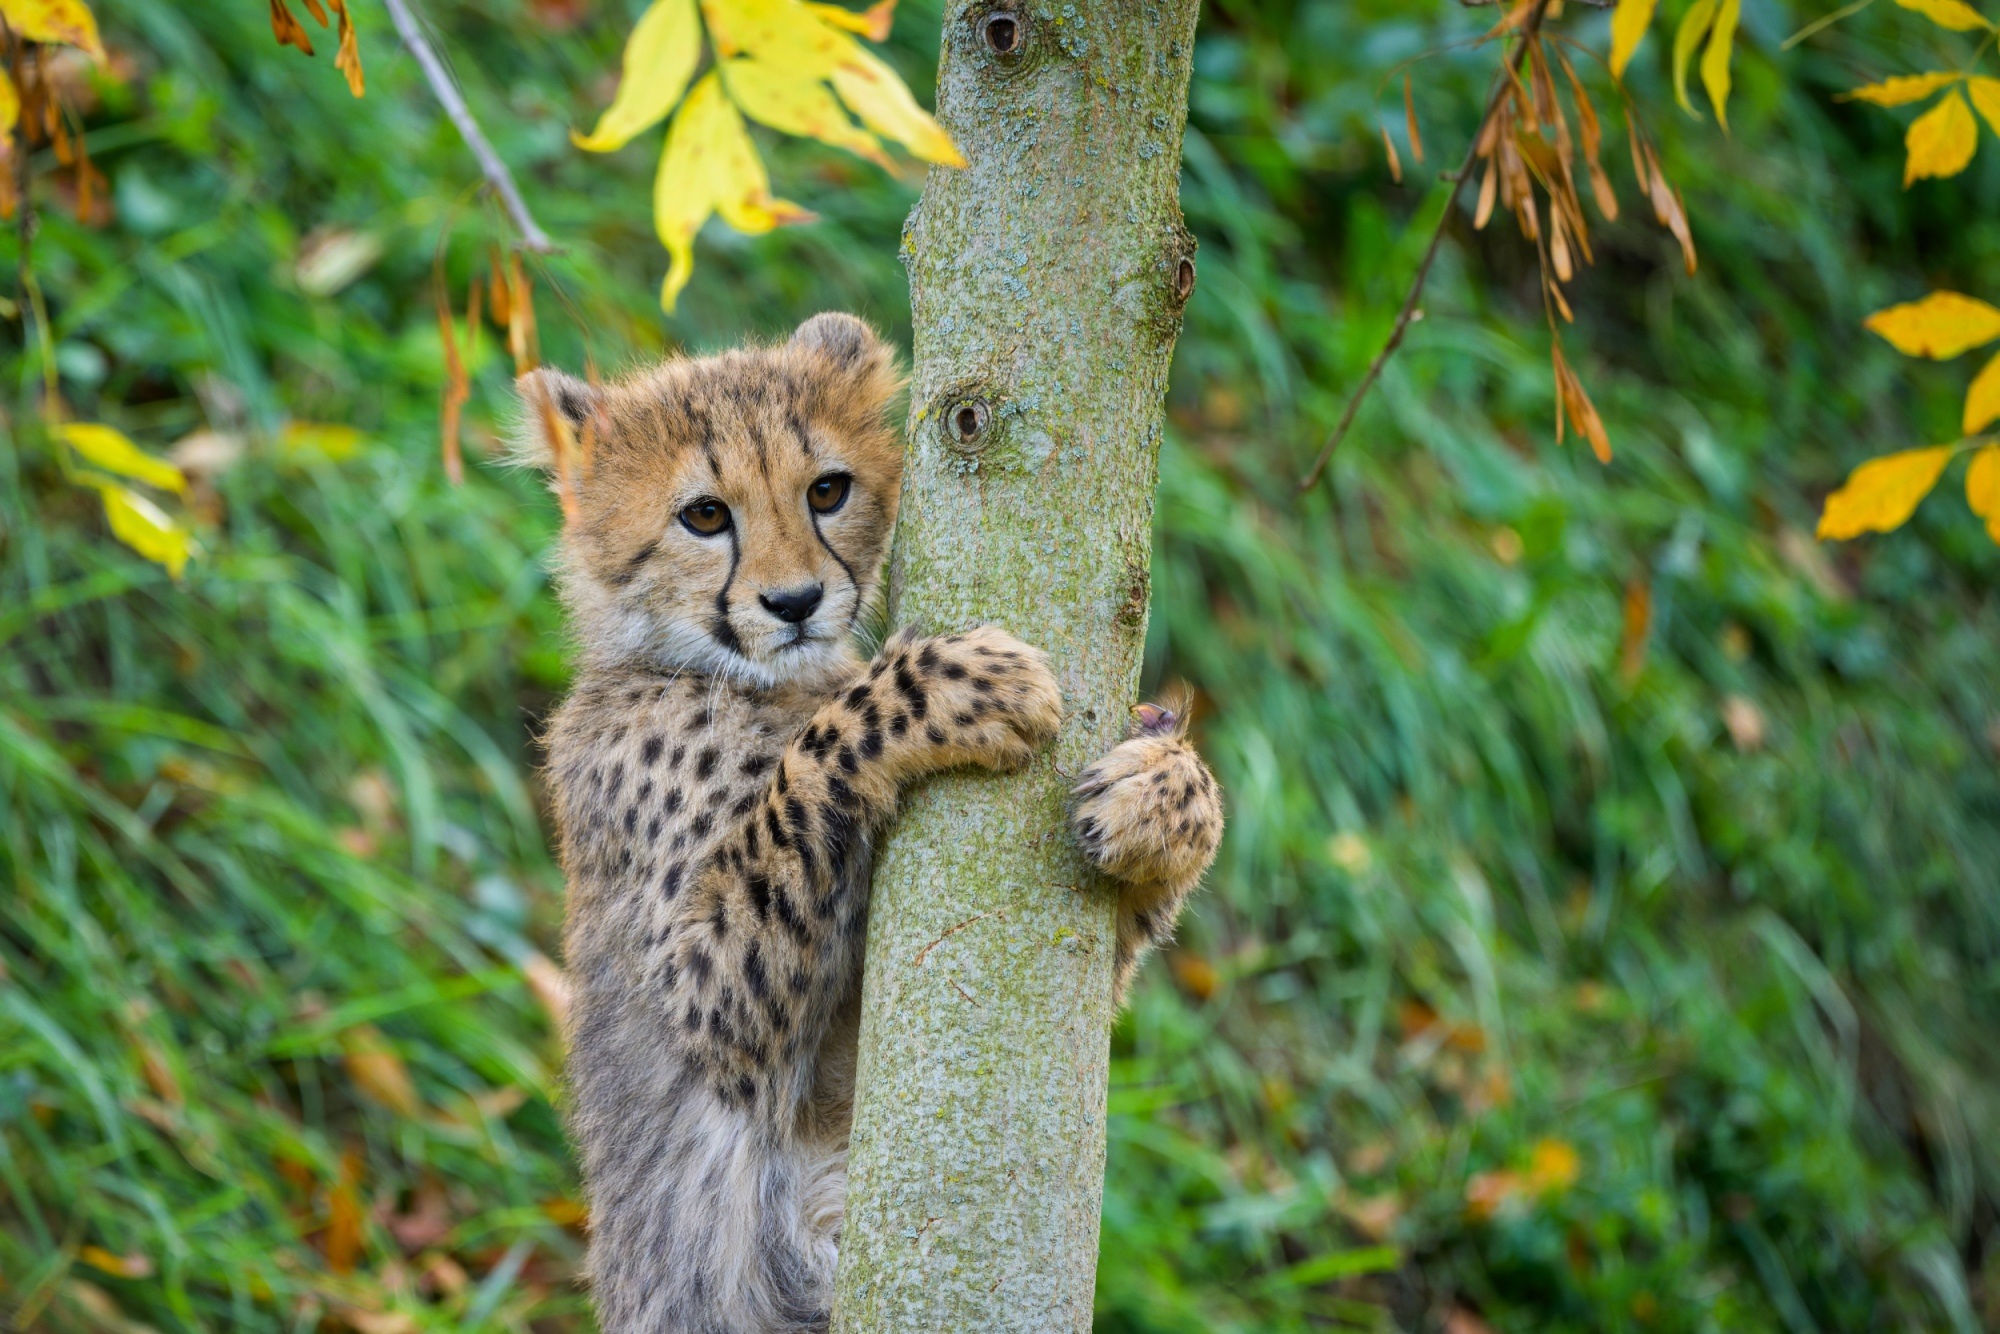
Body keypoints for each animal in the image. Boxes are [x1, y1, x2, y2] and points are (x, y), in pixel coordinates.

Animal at [520, 313, 1224, 1334]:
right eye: (704, 516)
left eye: (827, 489)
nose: (796, 602)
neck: (753, 680)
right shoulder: (709, 1000)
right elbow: (821, 756)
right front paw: (954, 683)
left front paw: (1167, 793)